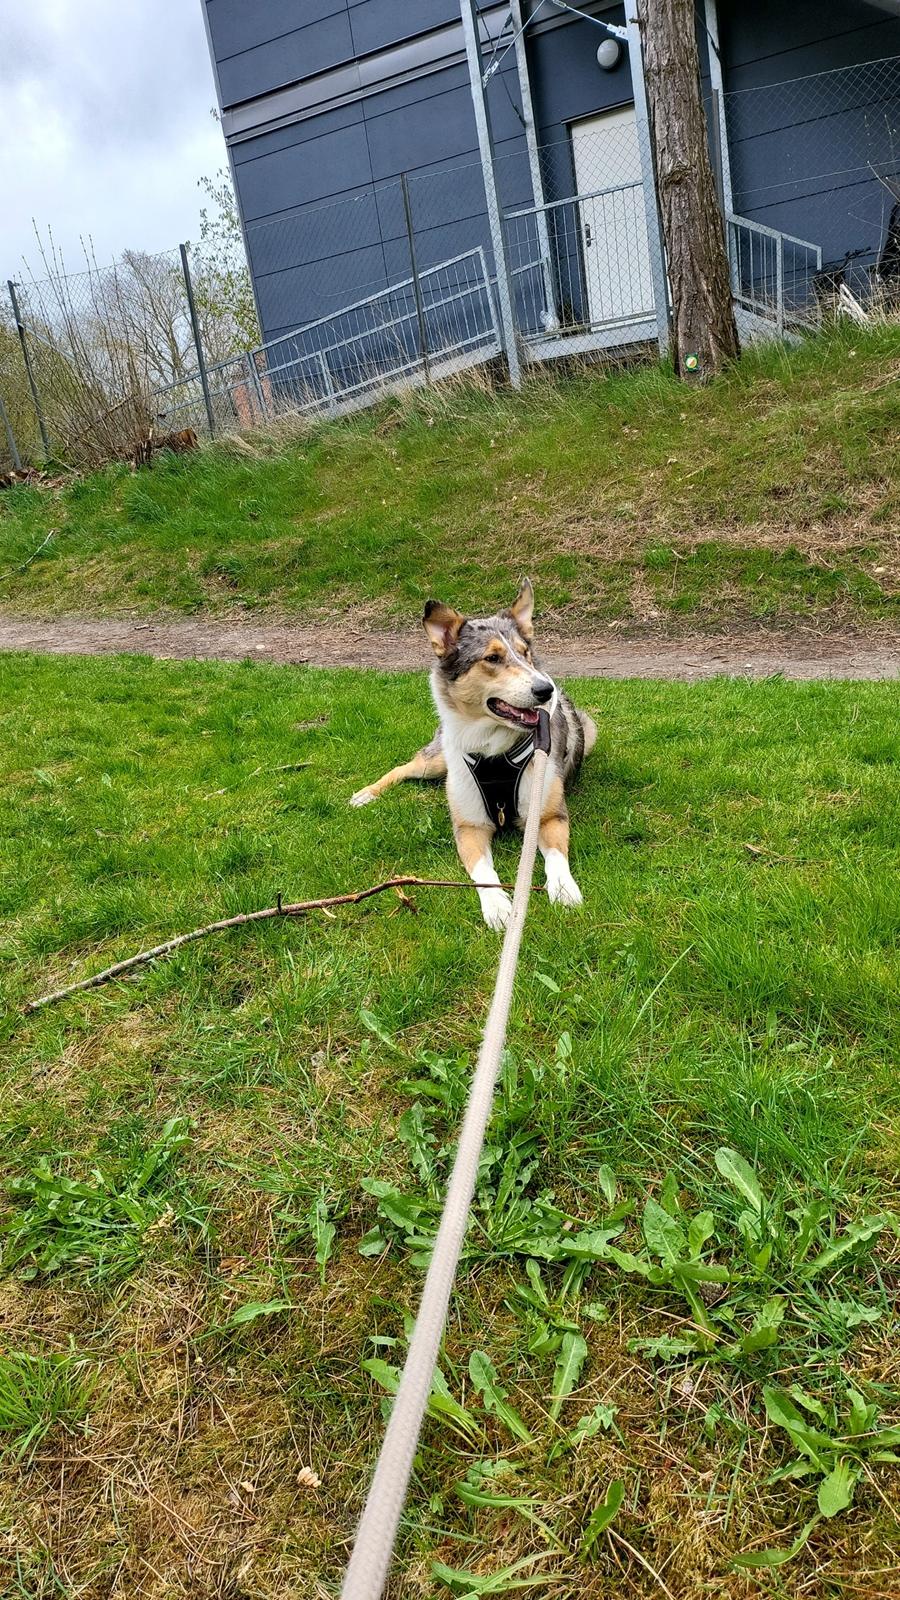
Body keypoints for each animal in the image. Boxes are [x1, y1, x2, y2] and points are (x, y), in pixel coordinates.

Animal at [350, 582, 595, 934]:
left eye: (525, 652)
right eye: (492, 658)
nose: (546, 690)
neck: (495, 751)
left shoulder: (548, 817)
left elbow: (556, 858)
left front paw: (563, 888)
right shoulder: (469, 827)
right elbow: (484, 872)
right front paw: (498, 907)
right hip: (437, 759)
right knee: (404, 767)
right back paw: (366, 794)